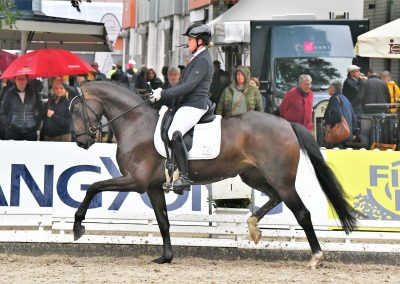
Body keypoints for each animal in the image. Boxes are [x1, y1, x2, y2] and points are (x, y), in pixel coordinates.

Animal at [70, 80, 358, 268]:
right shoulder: (151, 187)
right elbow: (163, 221)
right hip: (253, 176)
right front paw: (166, 257)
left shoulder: (135, 181)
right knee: (274, 198)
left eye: (74, 109)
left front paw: (78, 227)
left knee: (302, 213)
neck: (136, 123)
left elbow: (94, 186)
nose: (80, 141)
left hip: (281, 179)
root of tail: (287, 123)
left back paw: (316, 257)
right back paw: (253, 228)